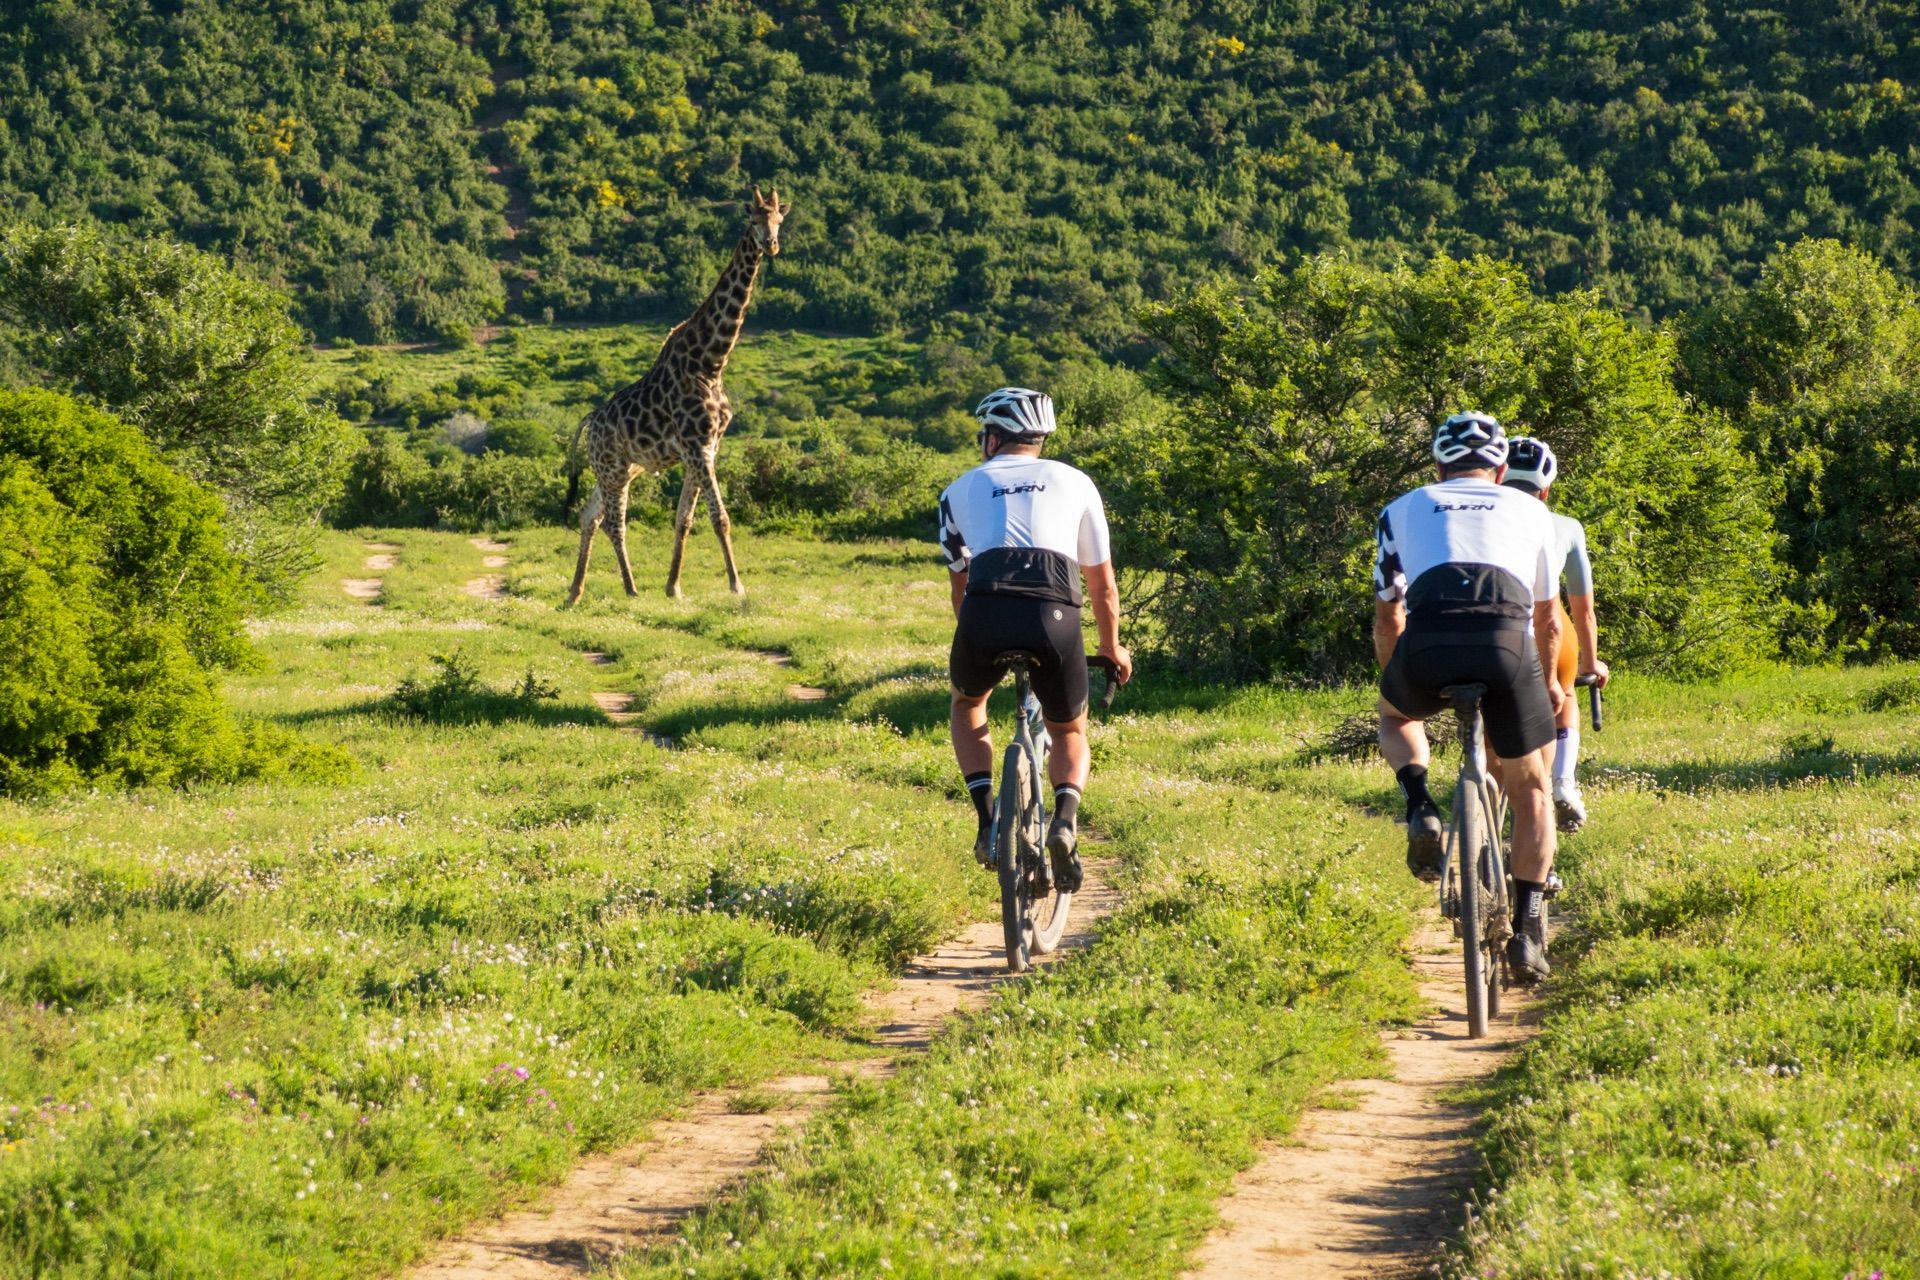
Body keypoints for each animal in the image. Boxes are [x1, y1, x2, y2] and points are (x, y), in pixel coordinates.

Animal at [565, 187, 789, 603]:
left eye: (779, 220)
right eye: (753, 219)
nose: (771, 244)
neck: (711, 362)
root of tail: (589, 420)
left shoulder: (707, 447)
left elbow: (683, 518)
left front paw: (674, 587)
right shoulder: (697, 446)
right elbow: (720, 518)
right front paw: (737, 586)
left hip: (619, 468)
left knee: (590, 515)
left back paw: (575, 592)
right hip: (613, 469)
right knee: (613, 523)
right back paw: (631, 589)